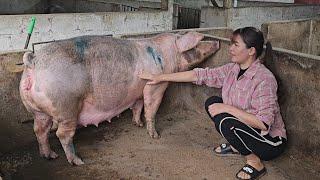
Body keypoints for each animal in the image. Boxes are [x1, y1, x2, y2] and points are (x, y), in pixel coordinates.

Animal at [19, 31, 220, 165]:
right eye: (199, 43)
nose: (217, 42)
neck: (166, 54)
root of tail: (33, 62)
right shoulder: (156, 84)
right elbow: (151, 107)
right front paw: (155, 136)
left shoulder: (138, 90)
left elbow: (138, 106)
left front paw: (137, 124)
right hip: (66, 106)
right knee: (62, 134)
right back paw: (77, 161)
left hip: (38, 110)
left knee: (40, 130)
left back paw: (49, 156)